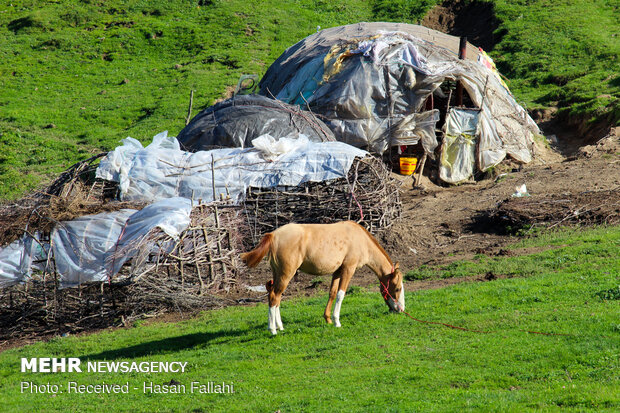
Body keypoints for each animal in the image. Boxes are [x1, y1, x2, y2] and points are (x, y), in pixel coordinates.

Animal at [240, 220, 404, 334]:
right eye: (397, 289)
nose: (401, 310)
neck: (359, 238)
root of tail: (274, 235)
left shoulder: (337, 272)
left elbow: (332, 293)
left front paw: (328, 319)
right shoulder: (348, 270)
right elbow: (341, 294)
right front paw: (337, 321)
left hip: (278, 274)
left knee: (274, 294)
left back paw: (279, 326)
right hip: (286, 274)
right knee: (275, 296)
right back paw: (273, 330)